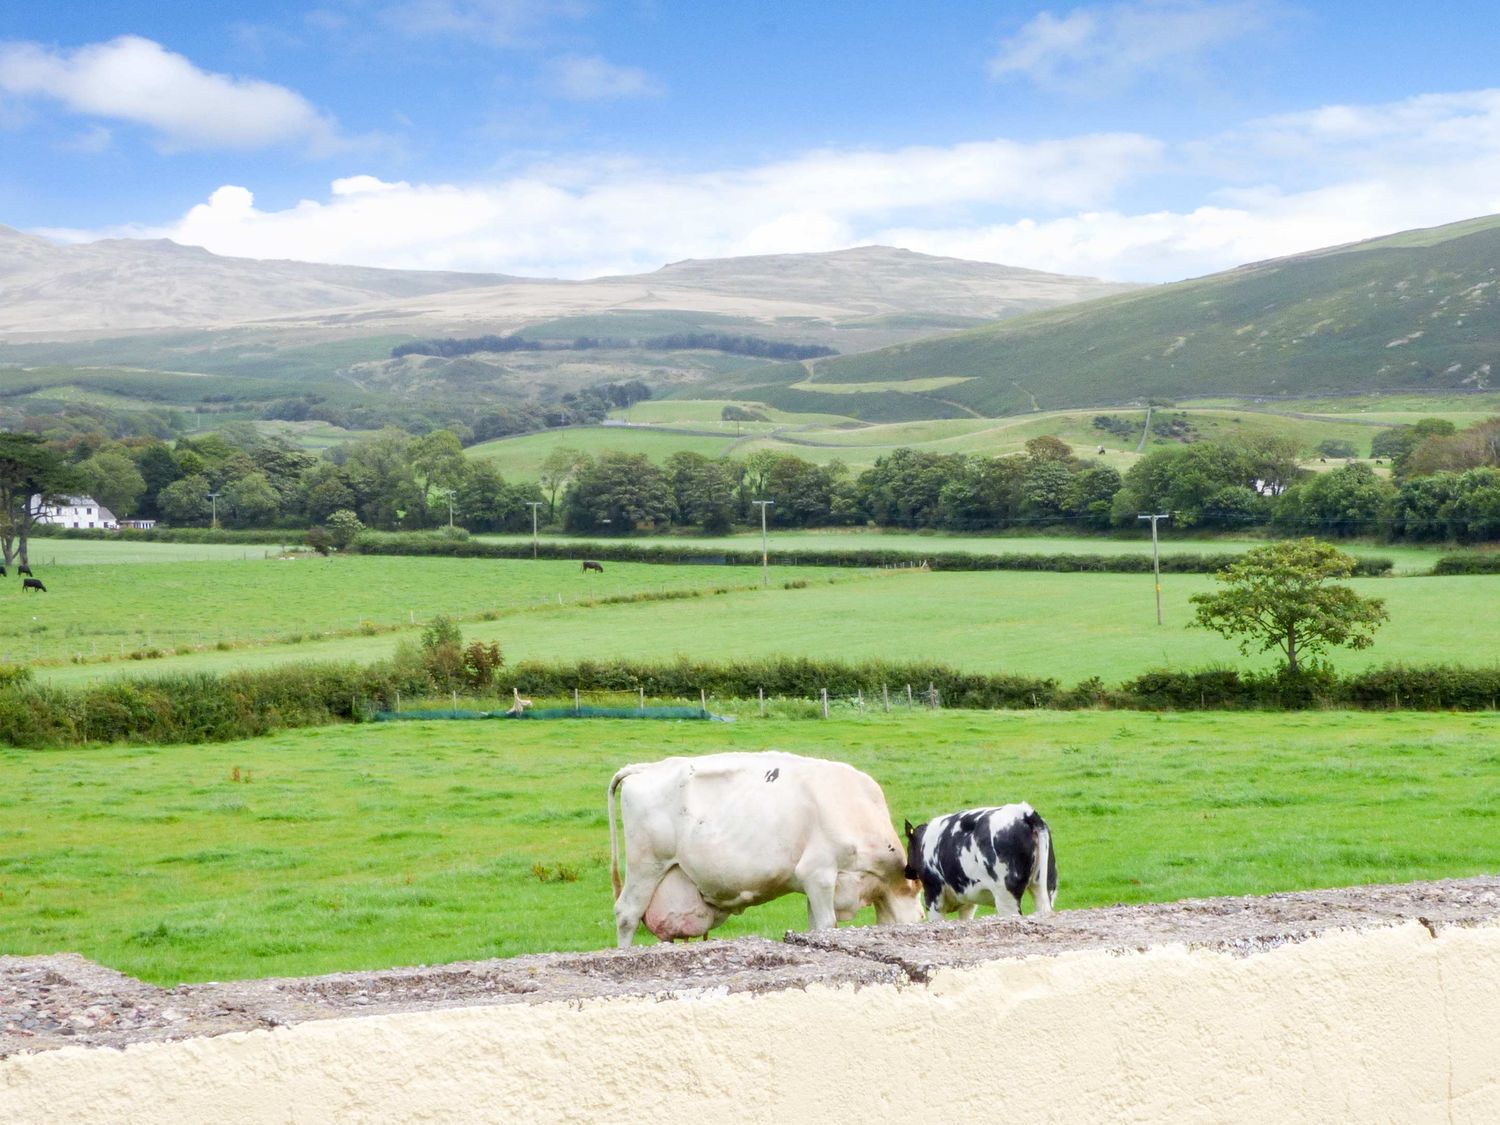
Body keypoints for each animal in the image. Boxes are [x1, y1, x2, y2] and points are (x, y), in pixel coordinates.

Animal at [606, 753, 918, 948]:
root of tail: (644, 768)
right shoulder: (818, 872)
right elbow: (826, 924)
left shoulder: (817, 885)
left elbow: (815, 924)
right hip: (646, 866)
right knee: (626, 914)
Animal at [900, 798, 1056, 918]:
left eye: (908, 847)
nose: (906, 870)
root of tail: (1024, 812)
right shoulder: (968, 900)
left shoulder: (934, 897)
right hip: (1043, 886)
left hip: (1006, 896)